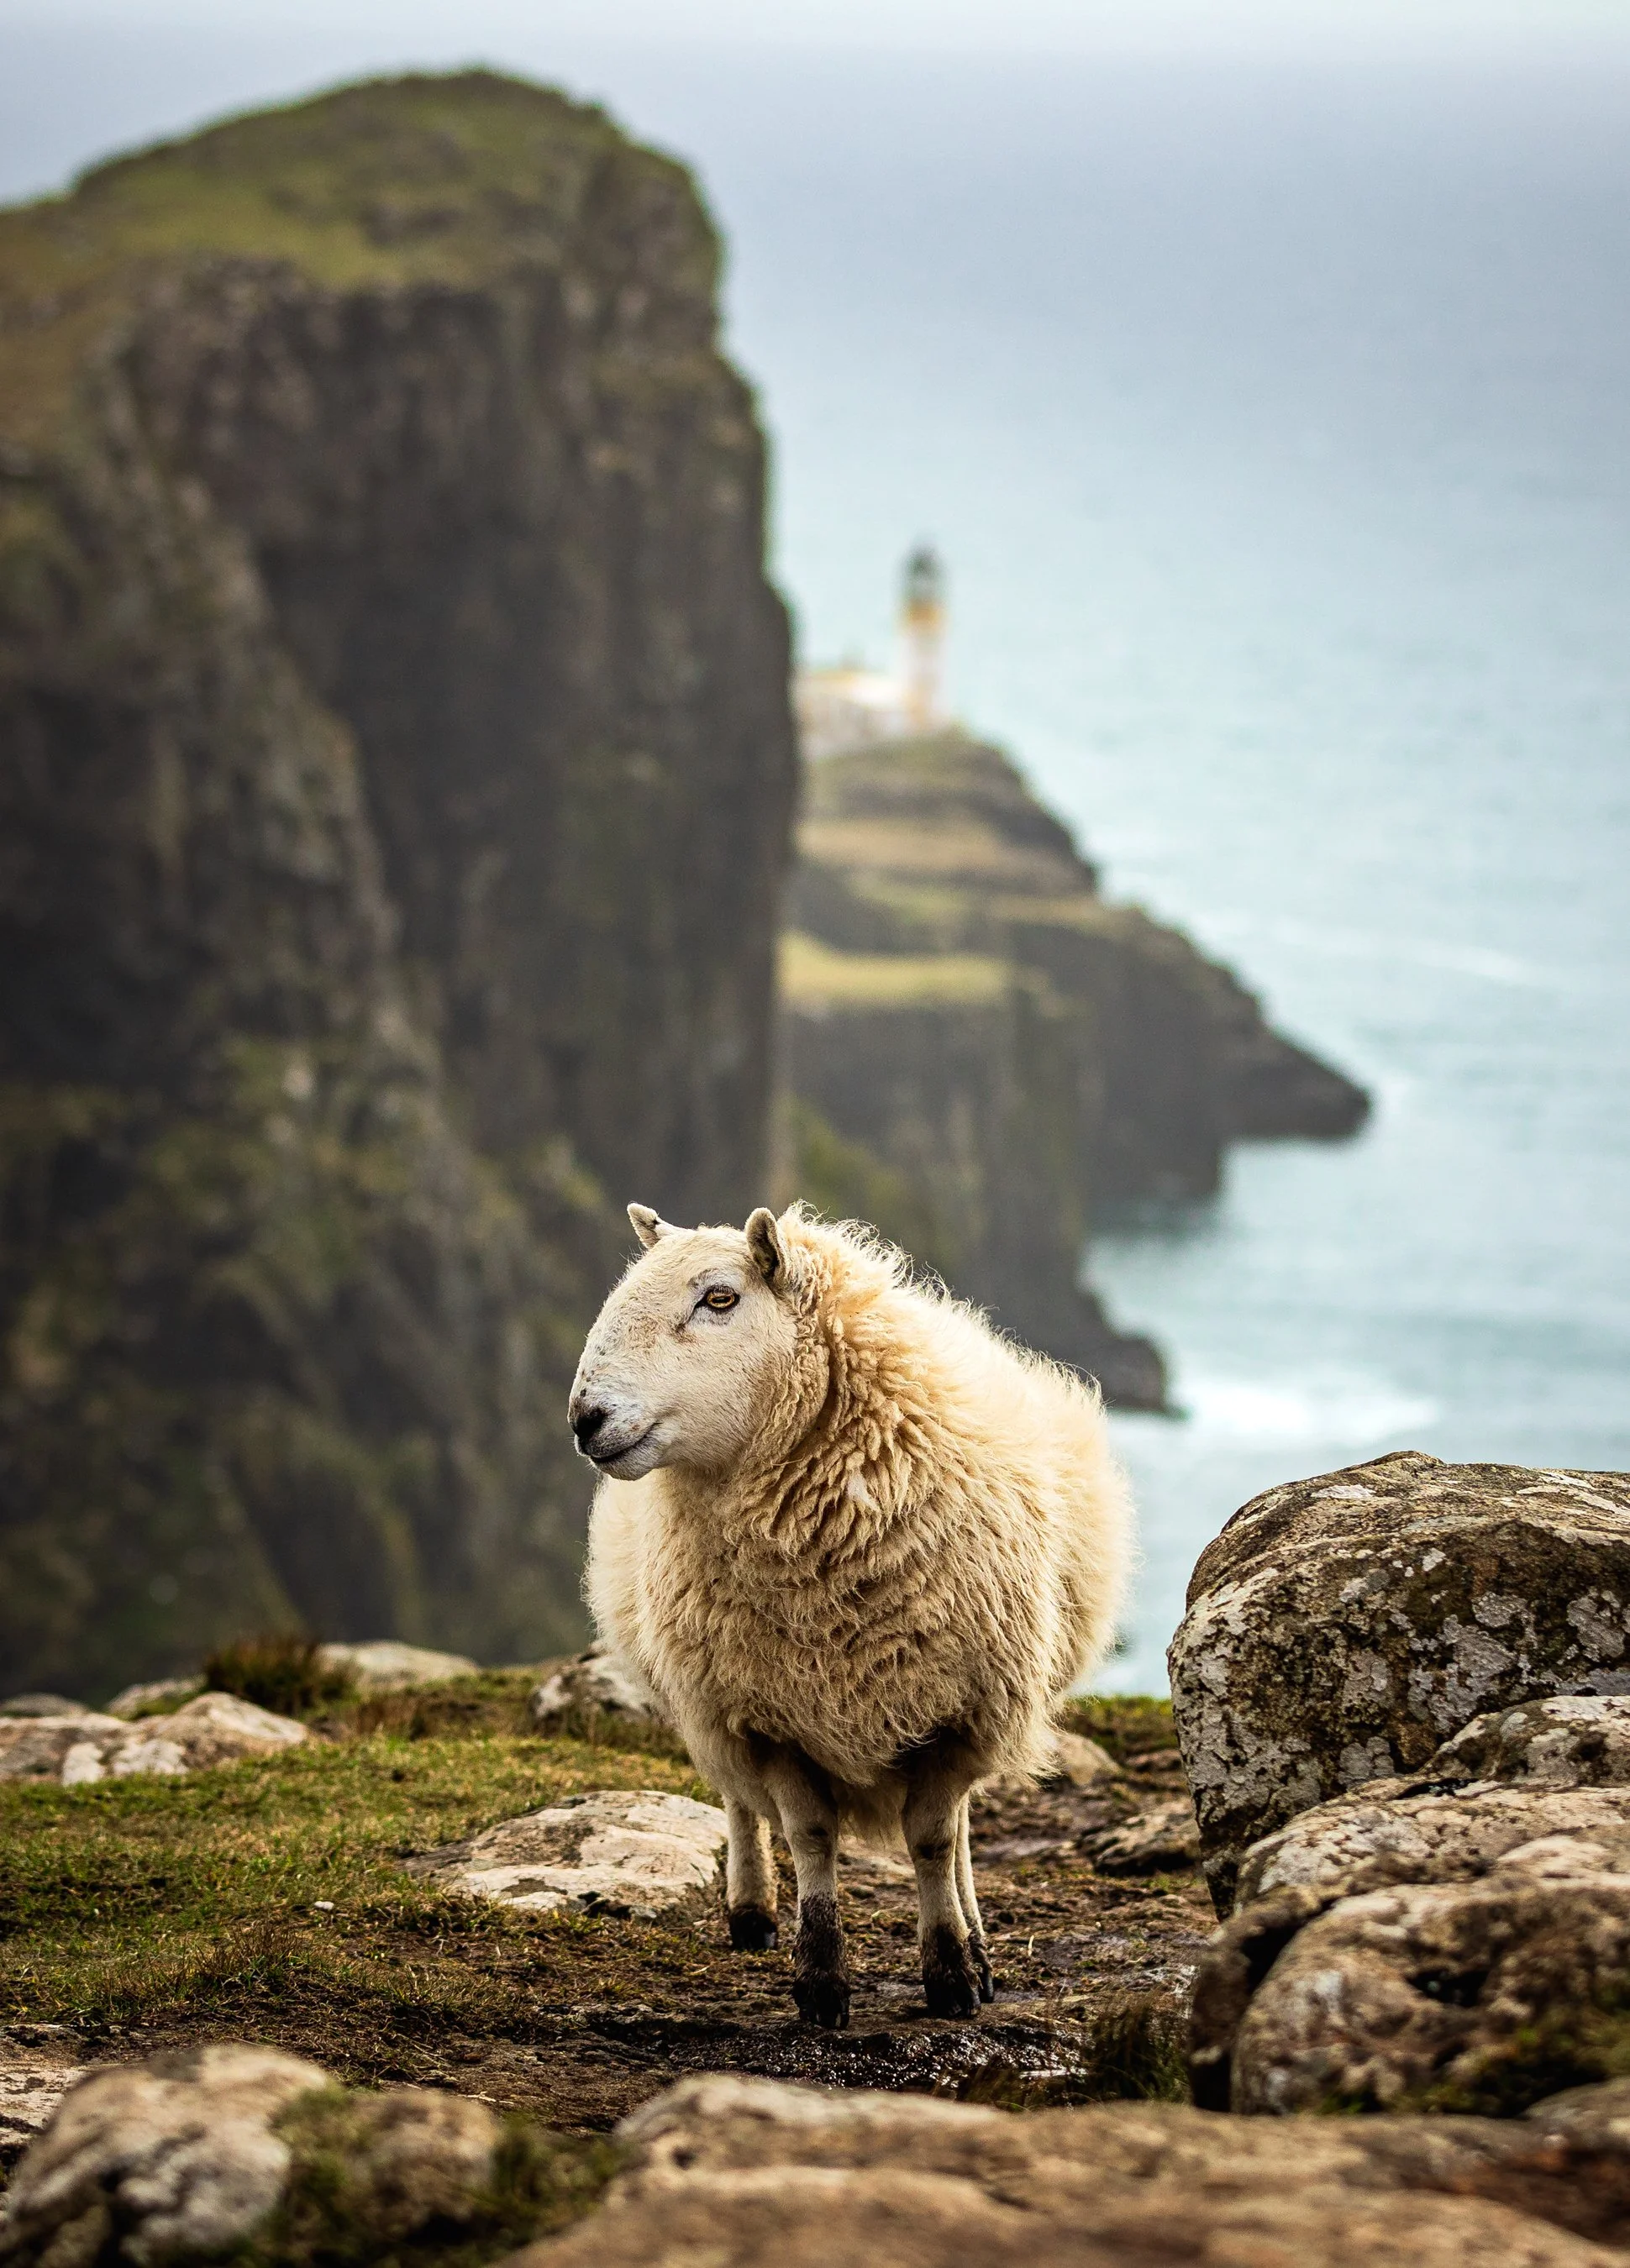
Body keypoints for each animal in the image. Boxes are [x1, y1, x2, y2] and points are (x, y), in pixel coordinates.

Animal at [568, 1202, 1134, 2029]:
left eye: (719, 1298)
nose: (585, 1418)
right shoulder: (765, 1715)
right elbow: (809, 1837)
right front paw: (821, 1976)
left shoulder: (959, 1712)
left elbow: (934, 1840)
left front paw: (952, 1970)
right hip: (707, 1688)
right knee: (737, 1799)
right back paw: (752, 1912)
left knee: (962, 1829)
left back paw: (977, 1938)